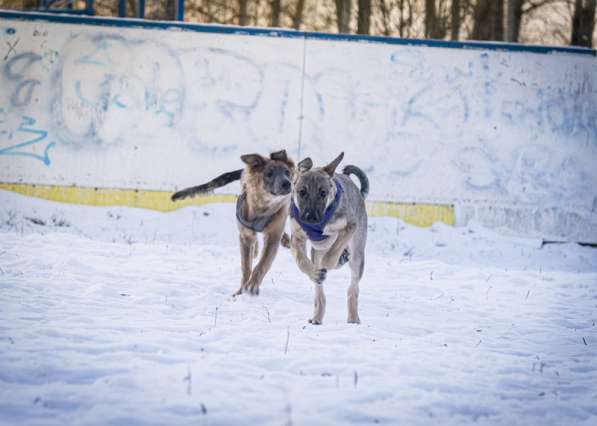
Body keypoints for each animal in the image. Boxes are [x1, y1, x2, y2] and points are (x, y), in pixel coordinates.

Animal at [171, 151, 294, 296]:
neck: (262, 207)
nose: (287, 184)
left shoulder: (273, 236)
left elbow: (262, 265)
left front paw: (252, 286)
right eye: (269, 174)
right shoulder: (245, 236)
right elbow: (246, 267)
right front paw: (241, 290)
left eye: (287, 172)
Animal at [288, 152, 368, 322]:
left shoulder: (350, 226)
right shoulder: (297, 237)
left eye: (322, 193)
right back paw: (317, 316)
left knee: (353, 289)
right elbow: (301, 260)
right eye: (302, 192)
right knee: (320, 295)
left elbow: (334, 250)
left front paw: (329, 262)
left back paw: (353, 317)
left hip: (357, 255)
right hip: (317, 252)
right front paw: (314, 272)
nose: (311, 218)